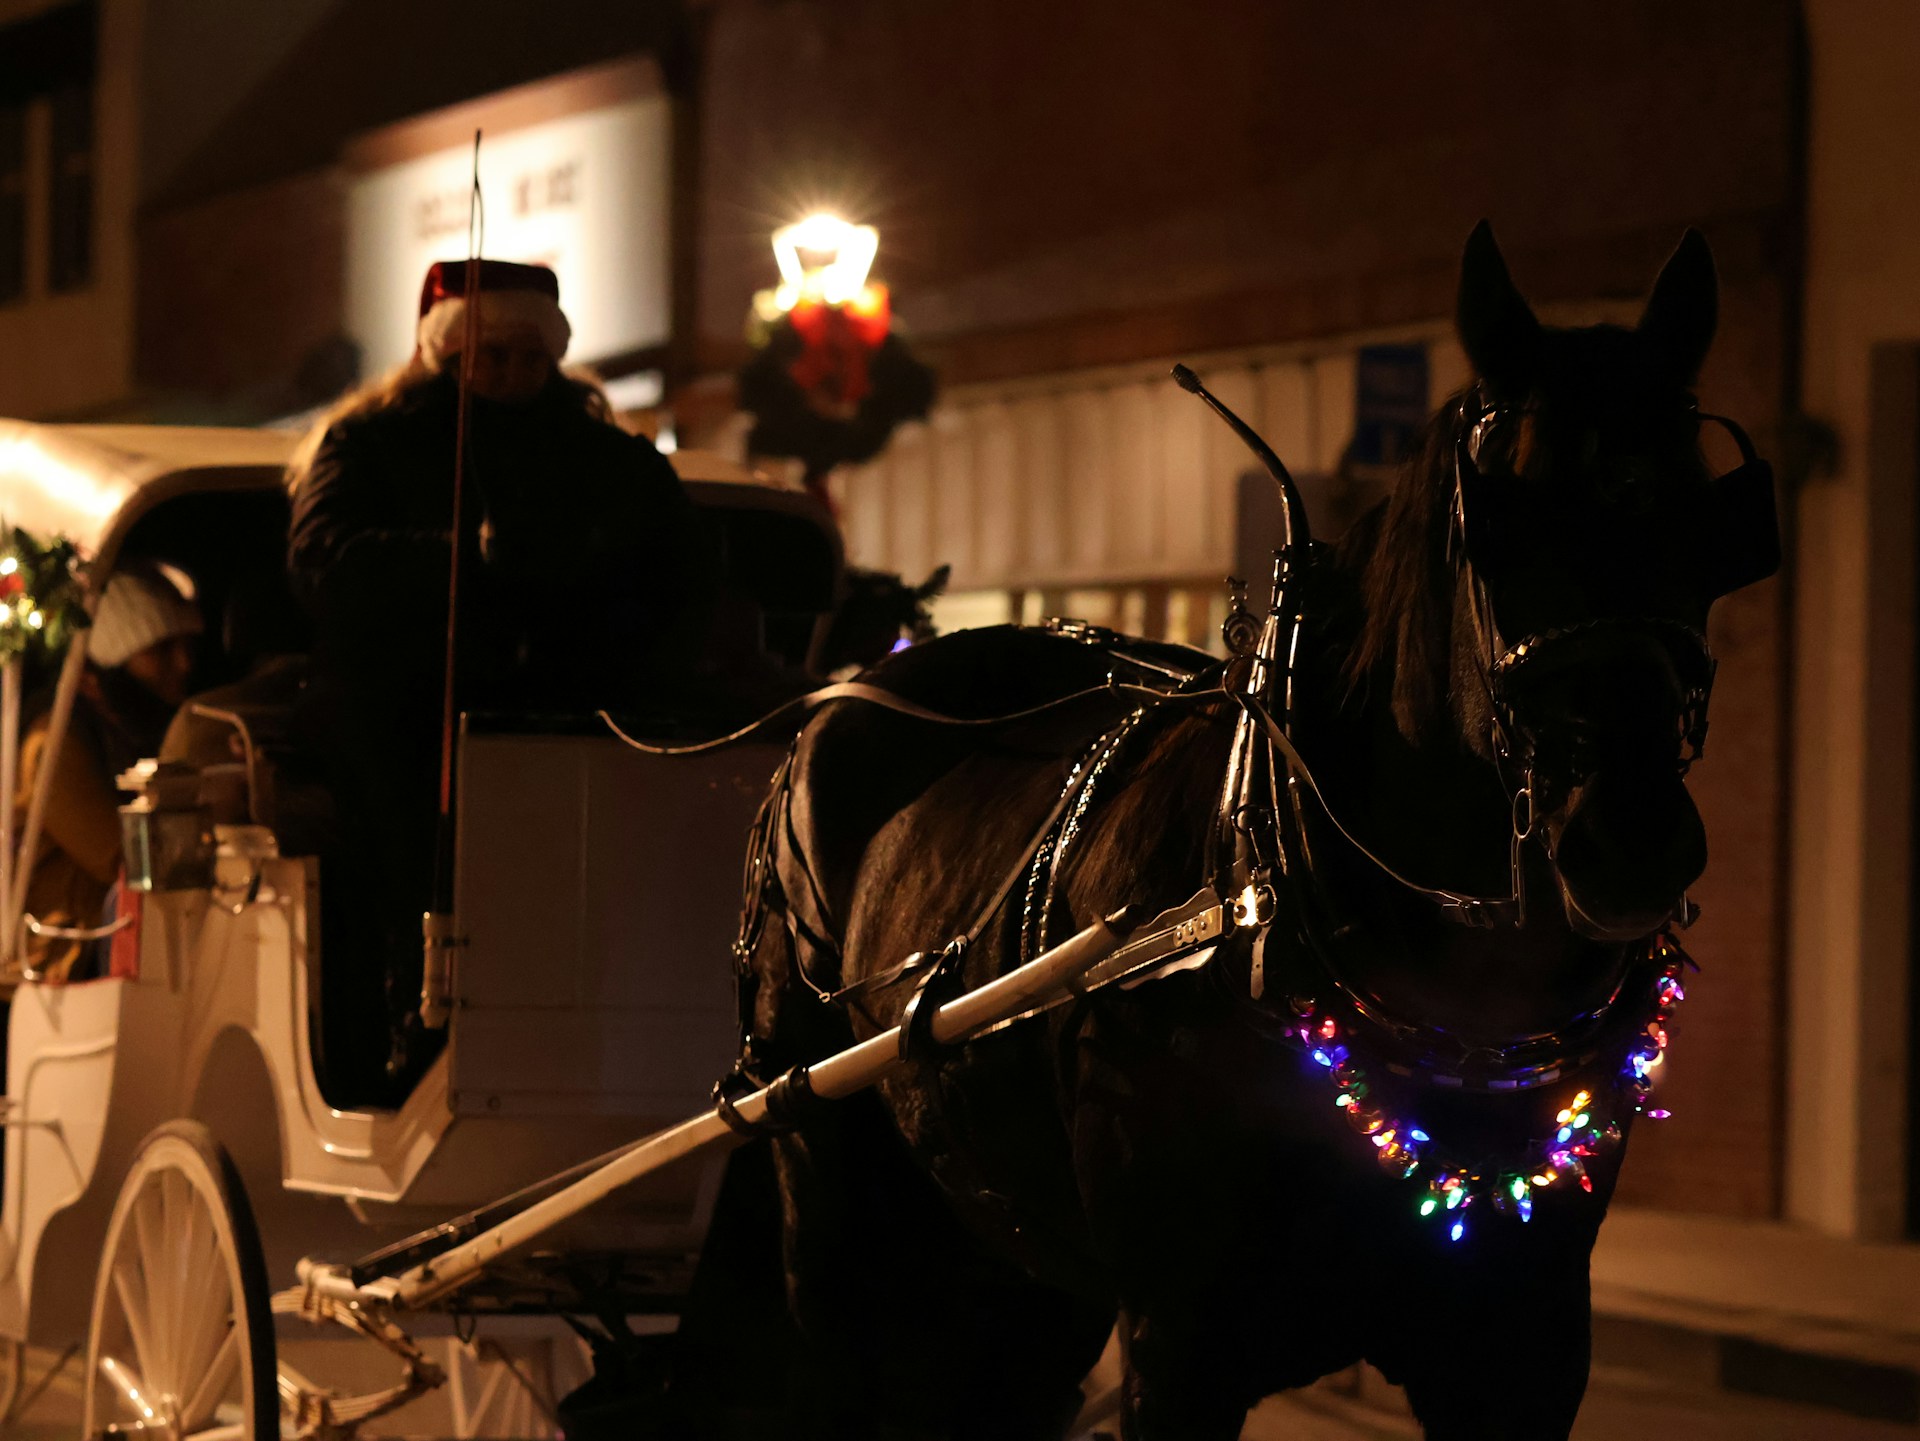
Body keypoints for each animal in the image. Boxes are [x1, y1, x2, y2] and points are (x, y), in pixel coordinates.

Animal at [724, 222, 1780, 1440]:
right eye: (1498, 530)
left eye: (1716, 535)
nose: (1634, 836)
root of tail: (853, 687)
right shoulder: (1181, 1344)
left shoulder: (1524, 1346)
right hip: (827, 1191)